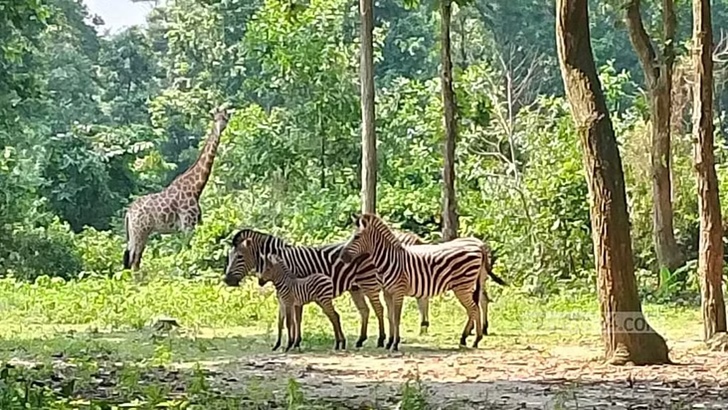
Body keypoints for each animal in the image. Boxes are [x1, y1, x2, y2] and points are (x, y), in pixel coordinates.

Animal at [122, 104, 230, 270]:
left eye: (225, 118)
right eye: (215, 119)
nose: (219, 129)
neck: (196, 188)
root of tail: (128, 213)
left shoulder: (194, 224)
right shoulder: (187, 224)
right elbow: (186, 250)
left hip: (134, 234)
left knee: (133, 260)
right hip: (141, 231)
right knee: (134, 260)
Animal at [222, 227, 436, 350]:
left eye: (239, 256)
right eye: (229, 256)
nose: (227, 280)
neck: (284, 260)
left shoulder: (294, 292)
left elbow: (294, 320)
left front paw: (293, 343)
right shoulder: (293, 295)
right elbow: (289, 320)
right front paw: (290, 343)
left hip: (369, 284)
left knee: (379, 309)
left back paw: (382, 339)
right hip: (356, 288)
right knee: (365, 311)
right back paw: (361, 340)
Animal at [336, 213, 498, 350]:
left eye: (357, 237)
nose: (342, 257)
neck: (389, 259)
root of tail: (479, 246)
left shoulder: (398, 291)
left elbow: (396, 317)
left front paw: (395, 343)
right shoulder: (387, 293)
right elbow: (390, 317)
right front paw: (389, 342)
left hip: (463, 286)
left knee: (474, 308)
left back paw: (472, 339)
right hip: (472, 284)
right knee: (476, 306)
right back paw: (469, 339)